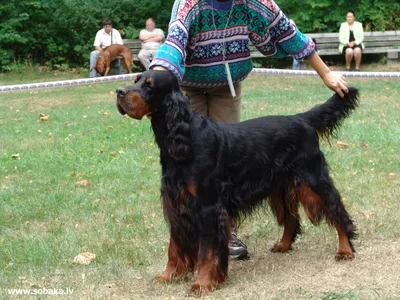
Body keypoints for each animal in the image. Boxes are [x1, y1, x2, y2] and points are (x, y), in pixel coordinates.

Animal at [115, 69, 360, 296]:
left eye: (150, 85)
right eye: (136, 79)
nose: (118, 92)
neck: (184, 140)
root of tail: (300, 118)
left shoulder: (207, 207)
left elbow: (206, 251)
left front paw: (202, 283)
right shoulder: (176, 202)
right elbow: (174, 246)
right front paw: (169, 276)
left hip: (313, 177)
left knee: (337, 210)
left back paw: (345, 250)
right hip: (279, 186)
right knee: (292, 218)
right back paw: (283, 245)